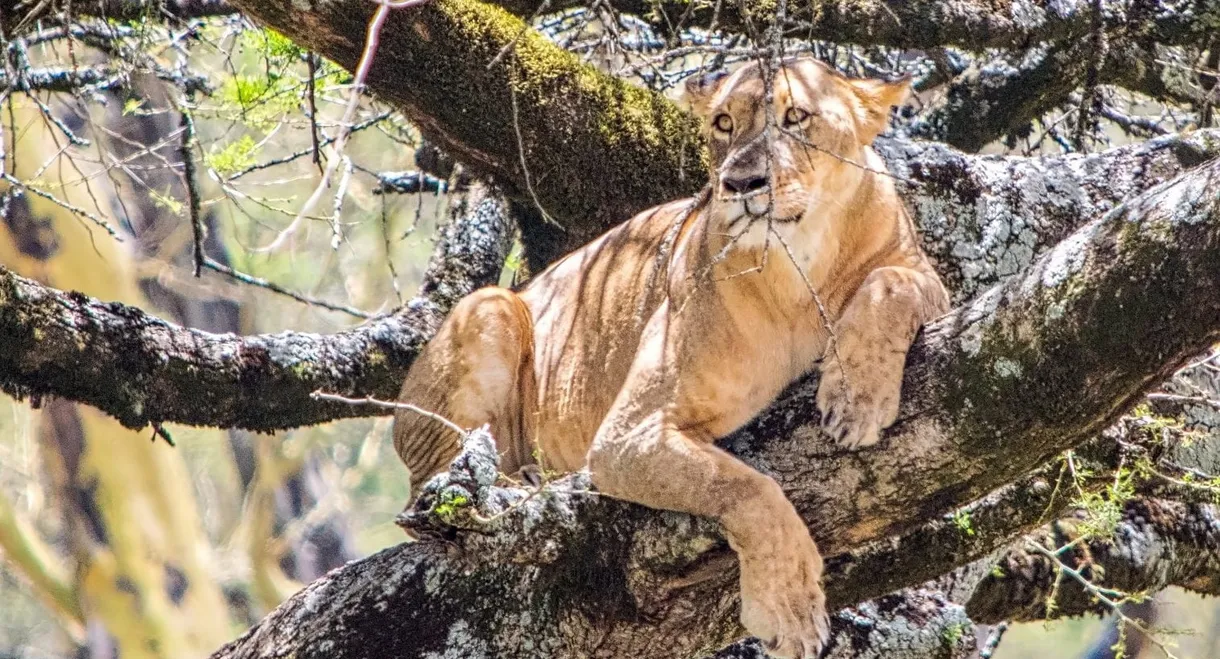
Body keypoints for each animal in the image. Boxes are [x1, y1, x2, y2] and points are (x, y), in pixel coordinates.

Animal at [393, 57, 949, 658]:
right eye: (725, 123)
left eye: (796, 117)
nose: (740, 184)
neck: (799, 271)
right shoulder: (627, 437)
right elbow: (749, 488)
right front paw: (789, 608)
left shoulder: (921, 274)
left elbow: (889, 285)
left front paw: (855, 399)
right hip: (490, 306)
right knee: (429, 489)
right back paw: (520, 480)